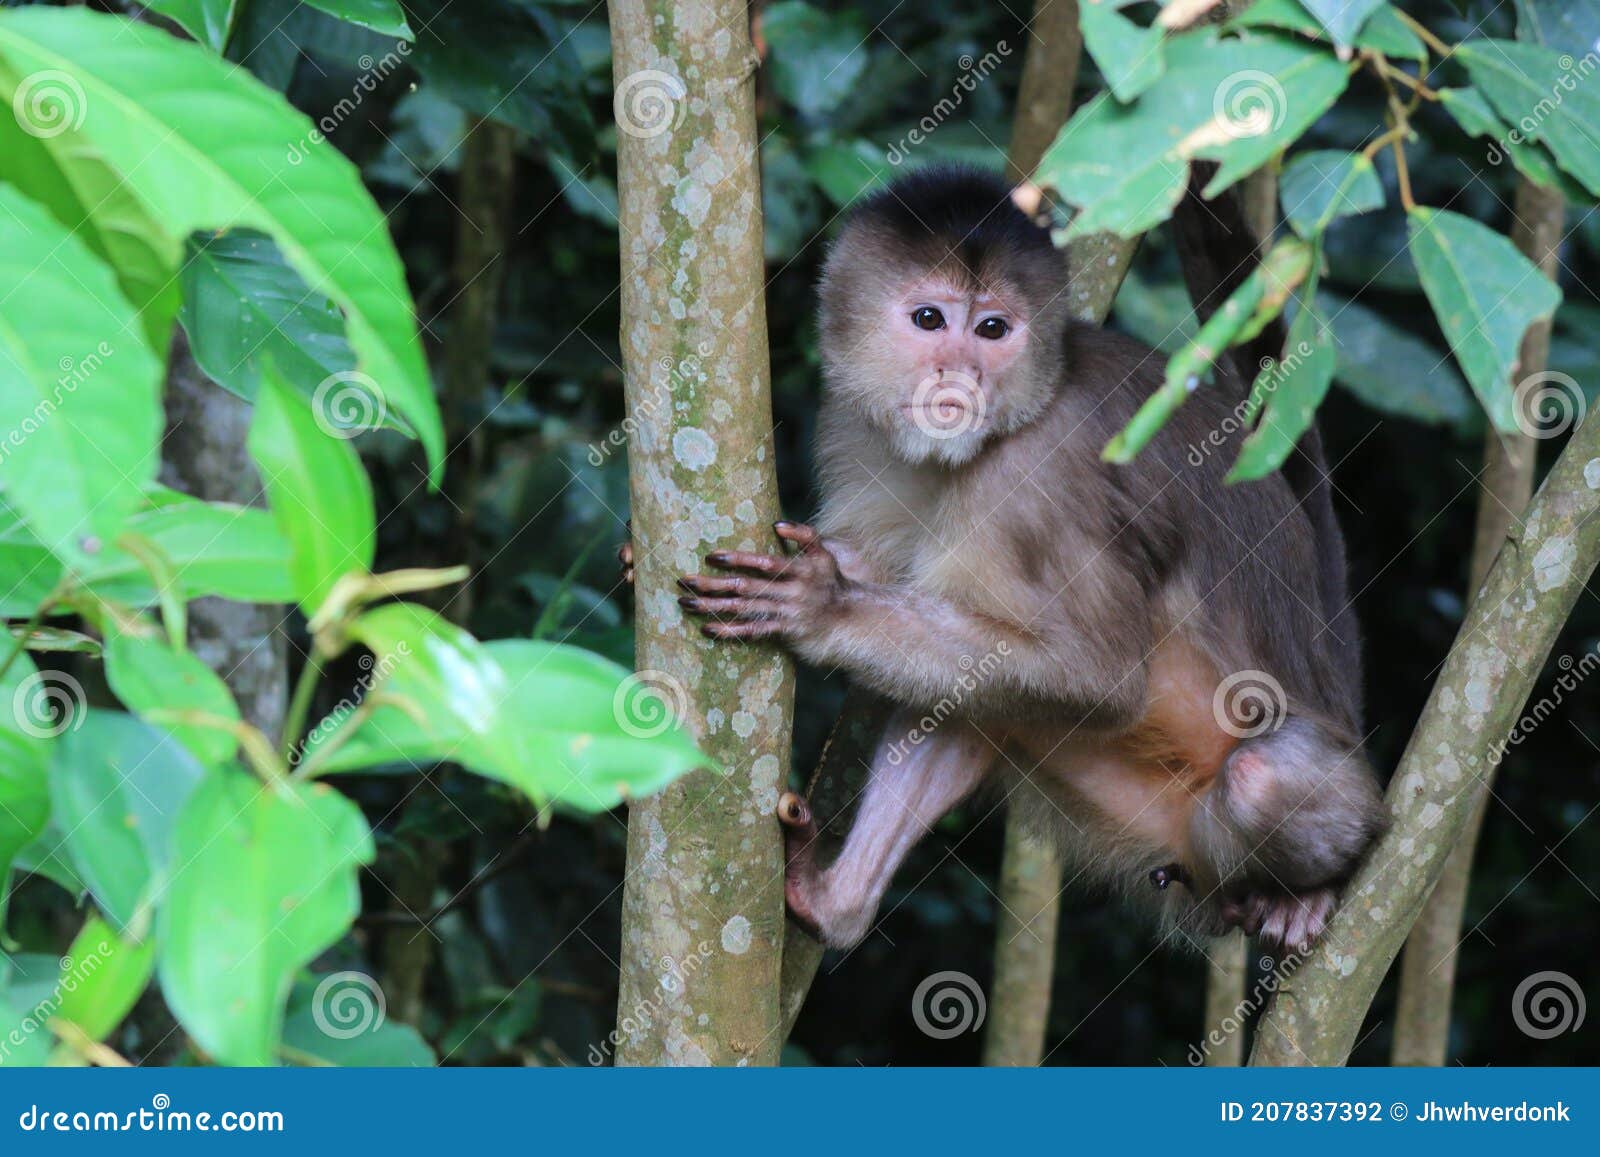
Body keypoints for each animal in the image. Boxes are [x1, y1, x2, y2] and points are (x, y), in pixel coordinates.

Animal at [624, 164, 1388, 960]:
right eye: (930, 320)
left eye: (993, 329)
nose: (959, 374)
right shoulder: (852, 421)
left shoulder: (1038, 478)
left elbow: (1099, 677)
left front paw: (821, 608)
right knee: (976, 700)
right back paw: (837, 904)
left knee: (1260, 777)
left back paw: (1305, 893)